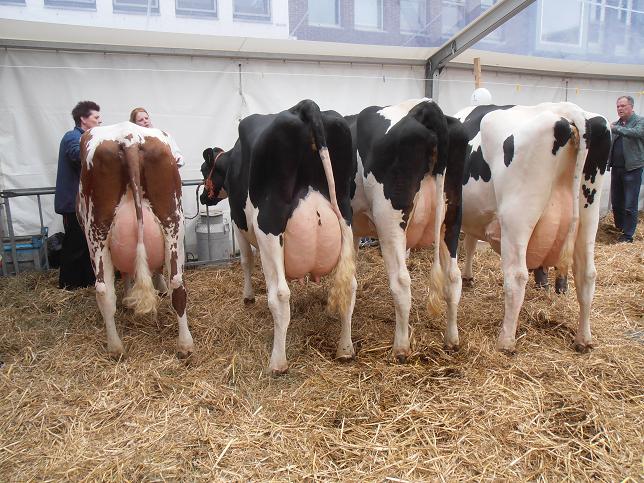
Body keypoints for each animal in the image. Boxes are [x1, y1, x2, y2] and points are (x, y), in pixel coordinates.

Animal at [77, 122, 193, 358]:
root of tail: (129, 137)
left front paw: (129, 297)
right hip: (173, 224)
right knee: (177, 283)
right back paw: (183, 345)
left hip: (96, 233)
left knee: (103, 289)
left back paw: (116, 347)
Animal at [200, 100, 356, 375]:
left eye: (203, 169)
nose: (201, 197)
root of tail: (306, 106)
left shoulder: (238, 222)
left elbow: (246, 261)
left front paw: (249, 297)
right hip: (344, 213)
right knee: (349, 285)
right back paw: (345, 349)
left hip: (269, 225)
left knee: (281, 295)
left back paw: (278, 362)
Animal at [346, 98, 469, 360]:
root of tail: (425, 106)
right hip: (452, 216)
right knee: (453, 278)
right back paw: (451, 340)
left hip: (390, 220)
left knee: (401, 282)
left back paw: (400, 348)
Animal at [455, 102, 611, 352]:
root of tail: (567, 111)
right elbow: (470, 242)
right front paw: (468, 276)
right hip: (589, 213)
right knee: (587, 274)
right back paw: (583, 339)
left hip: (517, 216)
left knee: (517, 276)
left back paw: (506, 341)